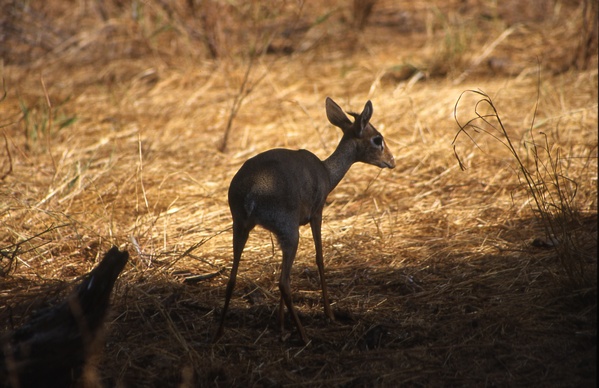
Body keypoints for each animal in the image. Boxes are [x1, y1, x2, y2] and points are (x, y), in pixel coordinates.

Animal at [218, 96, 396, 342]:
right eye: (377, 139)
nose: (392, 161)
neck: (325, 172)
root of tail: (250, 193)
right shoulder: (317, 214)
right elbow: (320, 258)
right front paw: (329, 314)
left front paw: (281, 326)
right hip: (289, 233)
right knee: (283, 282)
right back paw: (304, 336)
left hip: (242, 227)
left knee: (233, 278)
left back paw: (218, 331)